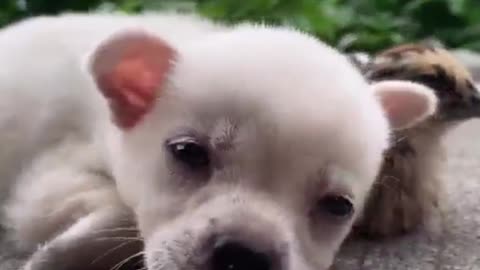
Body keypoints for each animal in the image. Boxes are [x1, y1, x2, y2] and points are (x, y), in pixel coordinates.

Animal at [0, 11, 436, 270]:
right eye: (187, 153)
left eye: (339, 206)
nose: (245, 257)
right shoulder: (49, 181)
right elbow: (120, 212)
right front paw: (54, 256)